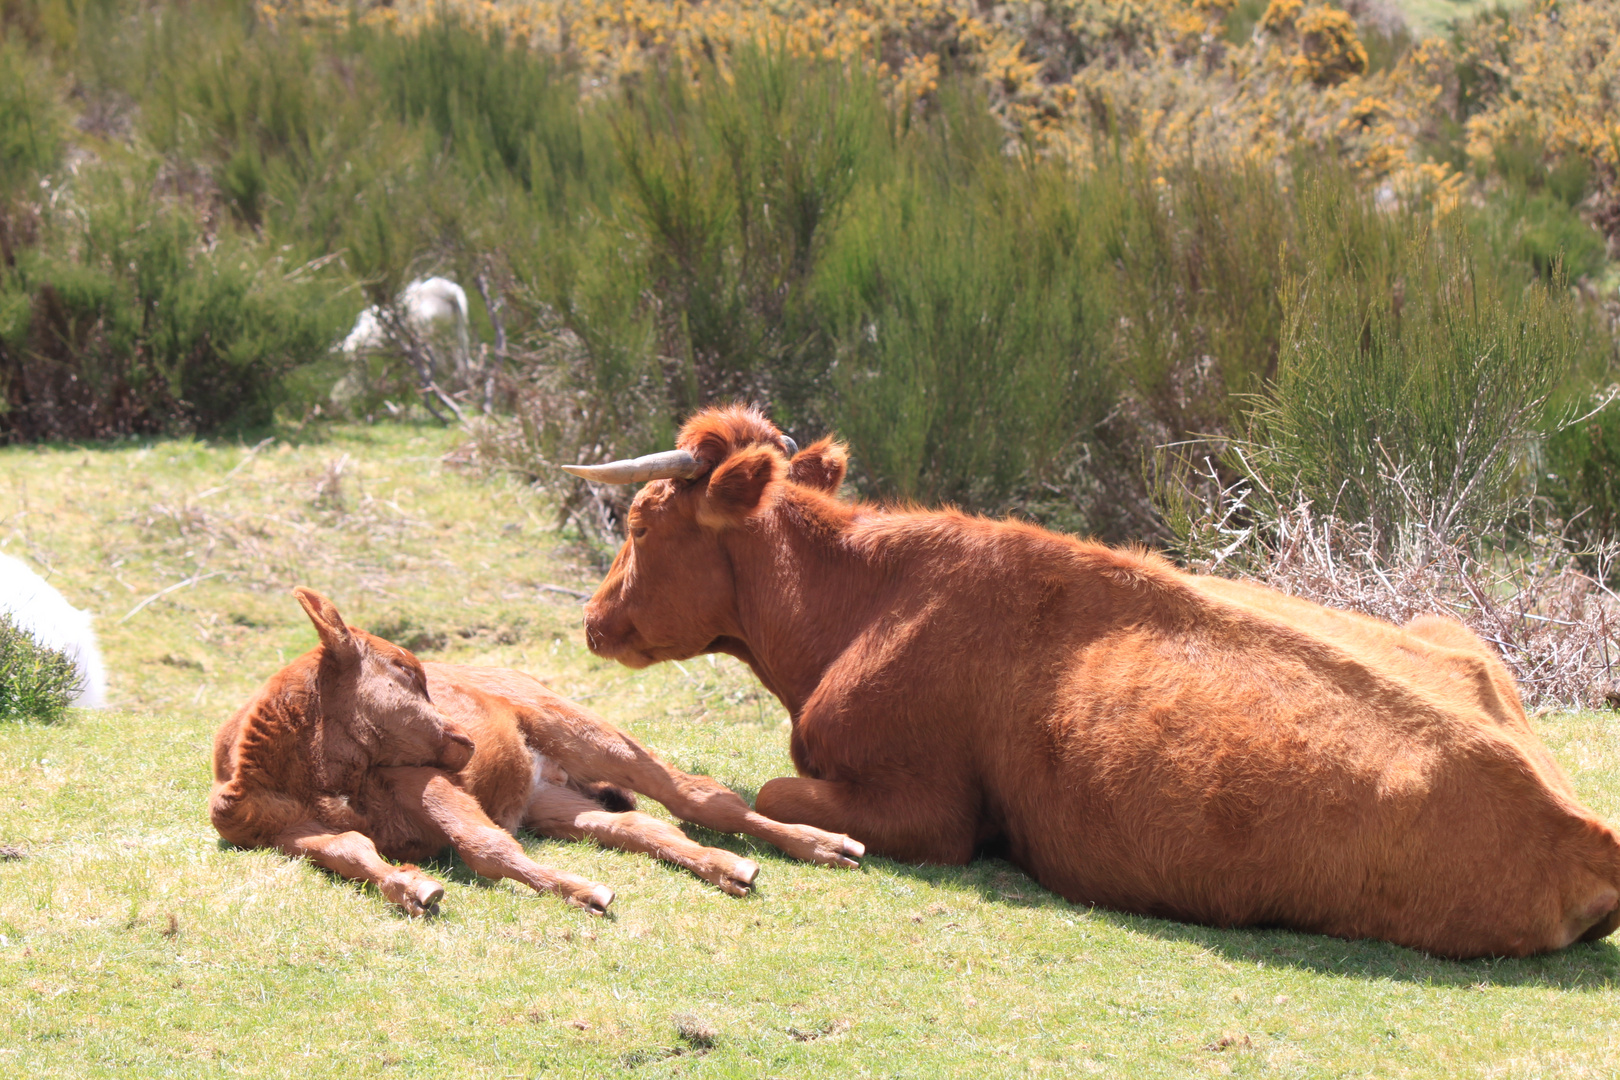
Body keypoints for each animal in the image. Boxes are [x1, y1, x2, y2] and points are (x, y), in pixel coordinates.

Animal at [218, 586, 874, 919]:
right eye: (406, 669)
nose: (465, 738)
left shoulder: (426, 781)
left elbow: (484, 846)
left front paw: (583, 890)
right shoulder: (289, 834)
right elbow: (352, 850)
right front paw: (412, 889)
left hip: (583, 731)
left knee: (697, 797)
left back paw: (824, 846)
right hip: (550, 802)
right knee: (640, 827)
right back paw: (729, 869)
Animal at [563, 403, 1620, 952]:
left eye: (643, 522)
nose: (592, 620)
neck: (865, 600)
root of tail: (1577, 819)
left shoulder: (929, 812)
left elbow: (775, 791)